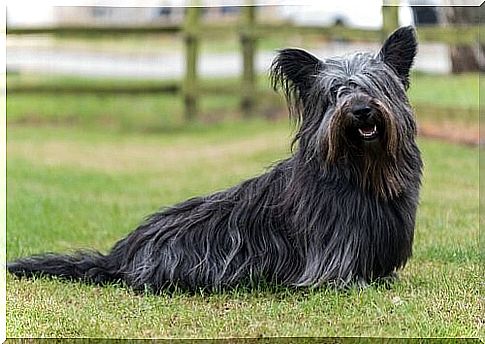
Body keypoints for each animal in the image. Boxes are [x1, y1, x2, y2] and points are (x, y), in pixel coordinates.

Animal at [9, 25, 422, 292]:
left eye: (377, 86)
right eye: (335, 93)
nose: (361, 111)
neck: (360, 171)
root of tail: (119, 256)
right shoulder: (328, 258)